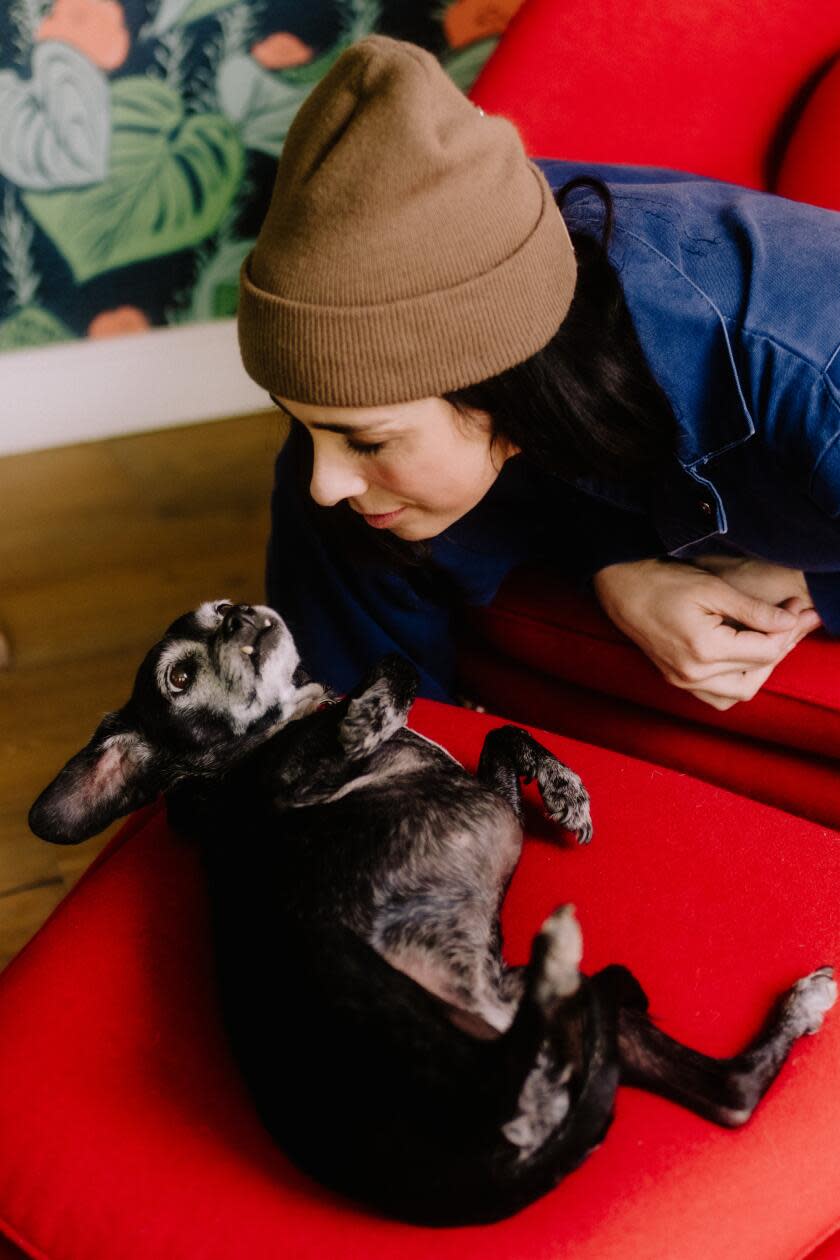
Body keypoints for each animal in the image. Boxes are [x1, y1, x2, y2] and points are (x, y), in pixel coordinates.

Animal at [29, 604, 836, 1224]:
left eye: (220, 608)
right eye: (179, 678)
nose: (238, 614)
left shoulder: (482, 790)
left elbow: (503, 733)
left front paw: (565, 788)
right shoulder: (291, 781)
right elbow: (396, 666)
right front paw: (372, 712)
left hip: (594, 1034)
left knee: (729, 1096)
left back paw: (802, 1002)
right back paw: (561, 959)